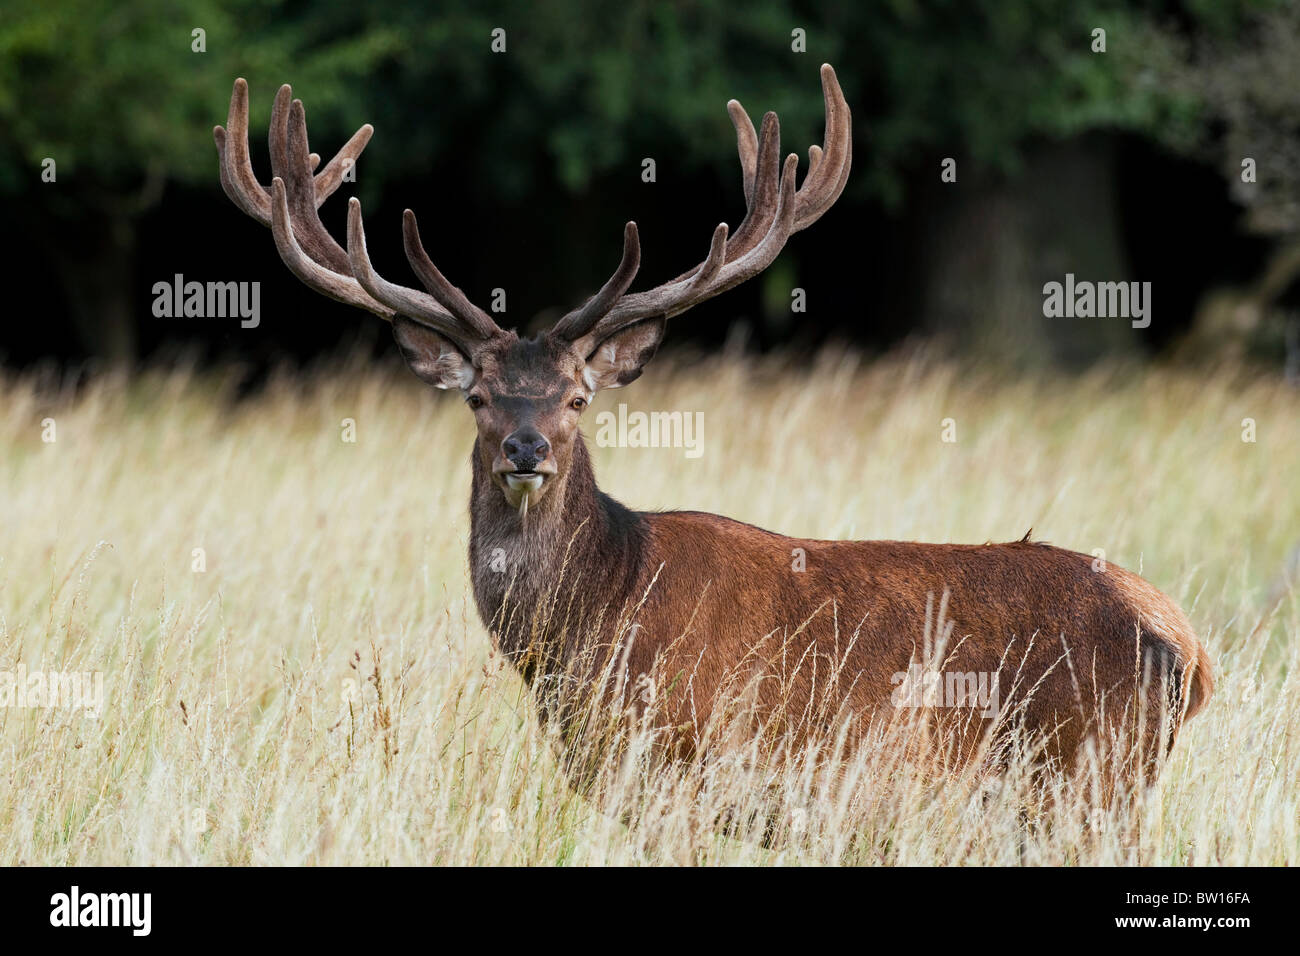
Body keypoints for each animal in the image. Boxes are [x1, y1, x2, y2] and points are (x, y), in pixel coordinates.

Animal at [210, 65, 1206, 816]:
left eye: (577, 398)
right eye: (480, 398)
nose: (526, 449)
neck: (591, 629)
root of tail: (1192, 651)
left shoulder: (683, 766)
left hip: (1088, 778)